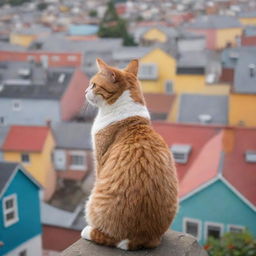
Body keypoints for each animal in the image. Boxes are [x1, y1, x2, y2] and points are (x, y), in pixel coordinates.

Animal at [82, 58, 178, 250]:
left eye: (93, 85)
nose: (85, 91)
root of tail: (141, 237)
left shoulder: (100, 160)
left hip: (92, 201)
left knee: (109, 238)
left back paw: (89, 231)